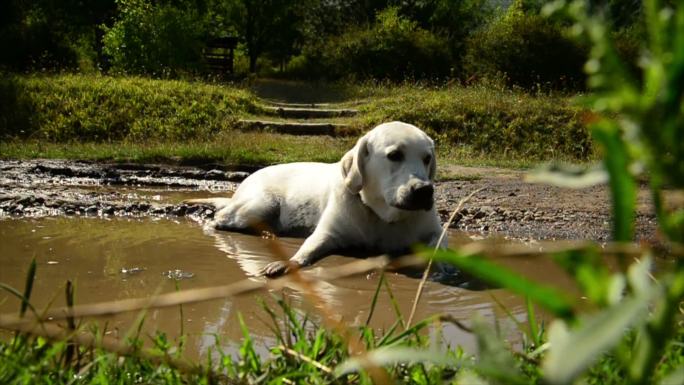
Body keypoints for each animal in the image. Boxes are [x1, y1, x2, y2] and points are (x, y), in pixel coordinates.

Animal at [188, 121, 444, 274]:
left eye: (427, 158)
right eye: (394, 155)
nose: (424, 190)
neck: (382, 217)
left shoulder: (435, 230)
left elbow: (438, 245)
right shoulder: (330, 232)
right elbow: (309, 248)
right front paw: (290, 262)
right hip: (261, 204)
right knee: (221, 217)